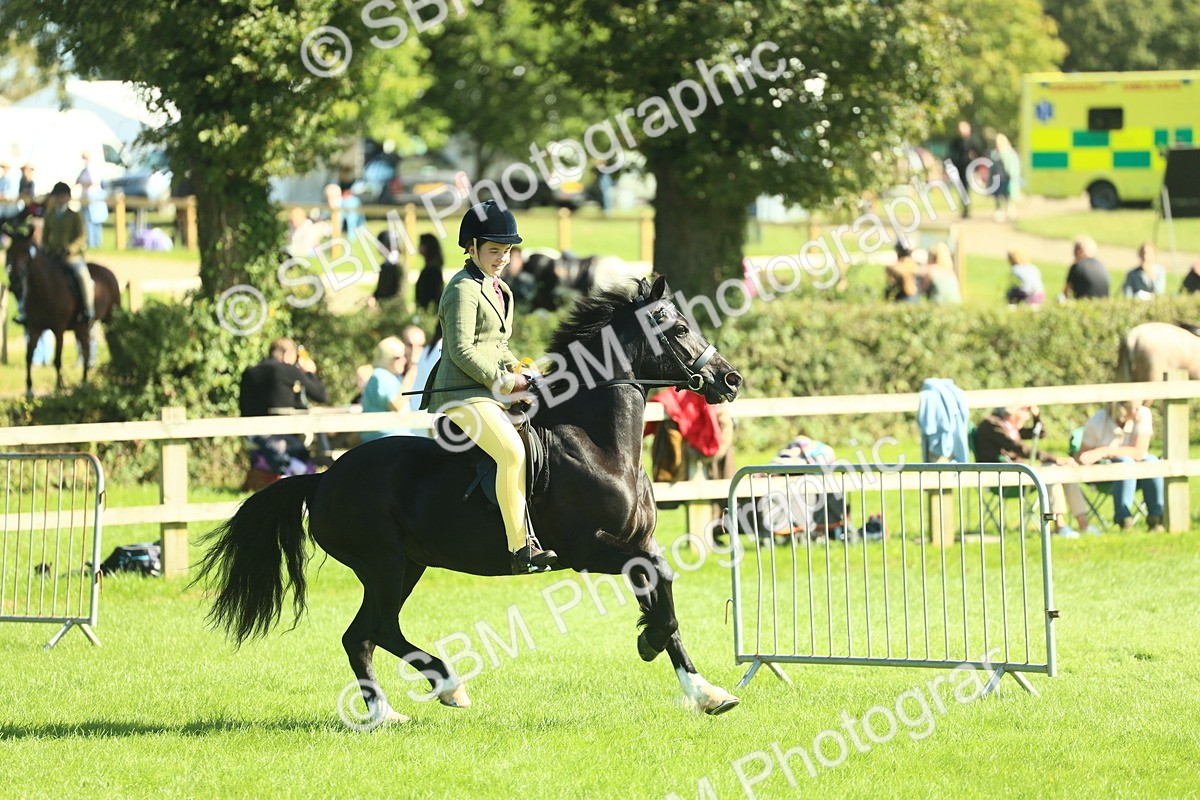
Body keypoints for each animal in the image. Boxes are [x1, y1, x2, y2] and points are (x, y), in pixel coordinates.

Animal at [3, 227, 120, 397]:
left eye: (26, 251)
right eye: (9, 251)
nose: (15, 279)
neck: (44, 288)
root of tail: (109, 273)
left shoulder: (58, 329)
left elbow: (57, 359)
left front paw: (59, 388)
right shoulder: (34, 328)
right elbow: (28, 357)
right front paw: (29, 389)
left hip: (110, 320)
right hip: (81, 327)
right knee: (86, 351)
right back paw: (84, 382)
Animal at [196, 276, 746, 723]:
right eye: (677, 328)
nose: (730, 379)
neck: (598, 443)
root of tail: (325, 477)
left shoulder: (633, 544)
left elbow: (662, 594)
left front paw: (702, 688)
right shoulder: (589, 549)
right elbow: (663, 581)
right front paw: (659, 648)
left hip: (406, 565)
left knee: (365, 635)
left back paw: (388, 711)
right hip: (383, 565)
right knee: (375, 630)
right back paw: (445, 688)